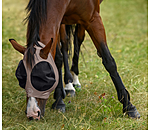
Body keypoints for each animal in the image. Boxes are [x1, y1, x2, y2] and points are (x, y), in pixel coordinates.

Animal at [8, 0, 141, 120]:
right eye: (21, 79)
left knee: (78, 40)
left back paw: (73, 82)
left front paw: (129, 107)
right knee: (65, 44)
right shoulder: (59, 20)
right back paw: (68, 85)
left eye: (45, 78)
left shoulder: (93, 19)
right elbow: (58, 57)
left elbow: (108, 61)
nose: (32, 113)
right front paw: (59, 101)